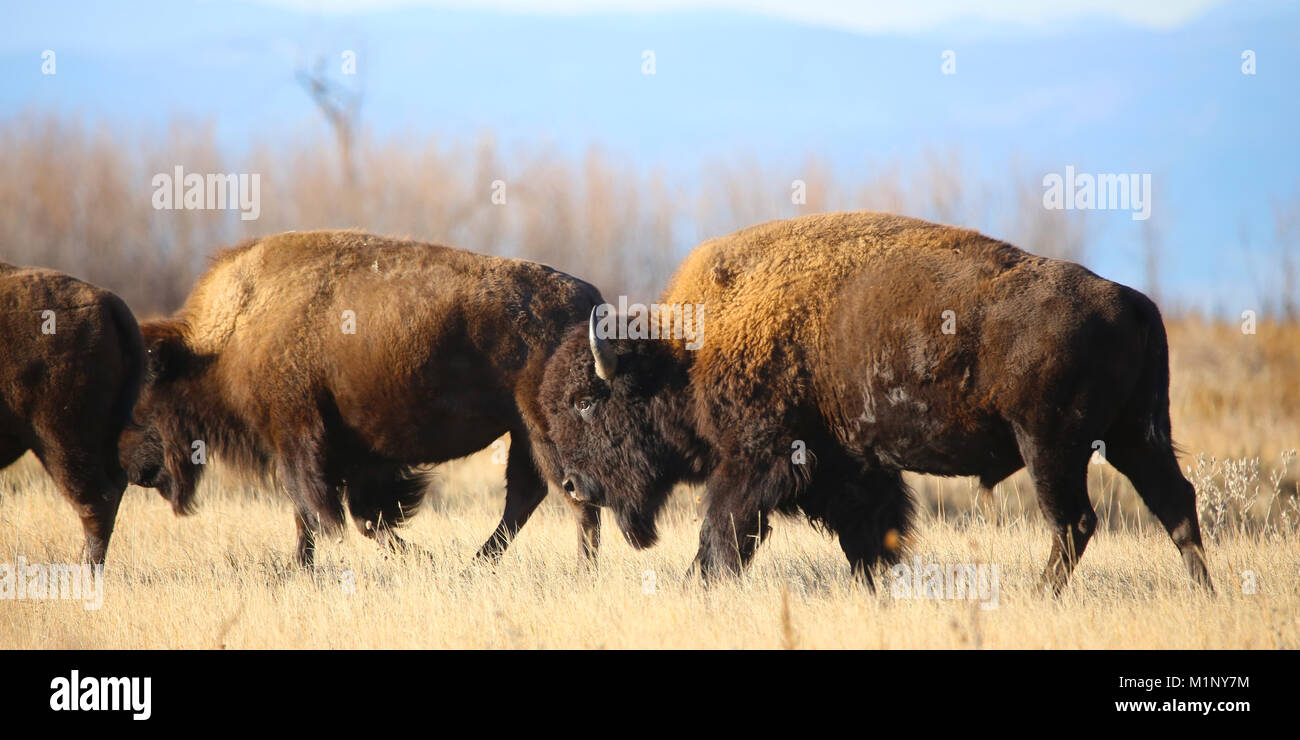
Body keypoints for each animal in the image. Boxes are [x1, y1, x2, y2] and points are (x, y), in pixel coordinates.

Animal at [116, 231, 603, 564]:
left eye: (145, 399)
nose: (135, 469)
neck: (230, 335)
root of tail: (589, 298)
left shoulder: (298, 439)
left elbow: (318, 510)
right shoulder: (355, 454)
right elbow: (354, 516)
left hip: (543, 428)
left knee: (570, 495)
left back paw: (577, 569)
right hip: (522, 430)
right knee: (529, 495)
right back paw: (479, 564)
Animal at [535, 210, 1206, 590]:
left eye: (588, 403)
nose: (571, 484)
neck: (686, 353)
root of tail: (1132, 301)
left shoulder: (756, 461)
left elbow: (722, 532)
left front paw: (697, 586)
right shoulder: (849, 468)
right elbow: (870, 538)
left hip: (1052, 446)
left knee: (1076, 522)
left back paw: (1041, 597)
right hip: (1134, 435)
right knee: (1175, 504)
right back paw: (1205, 592)